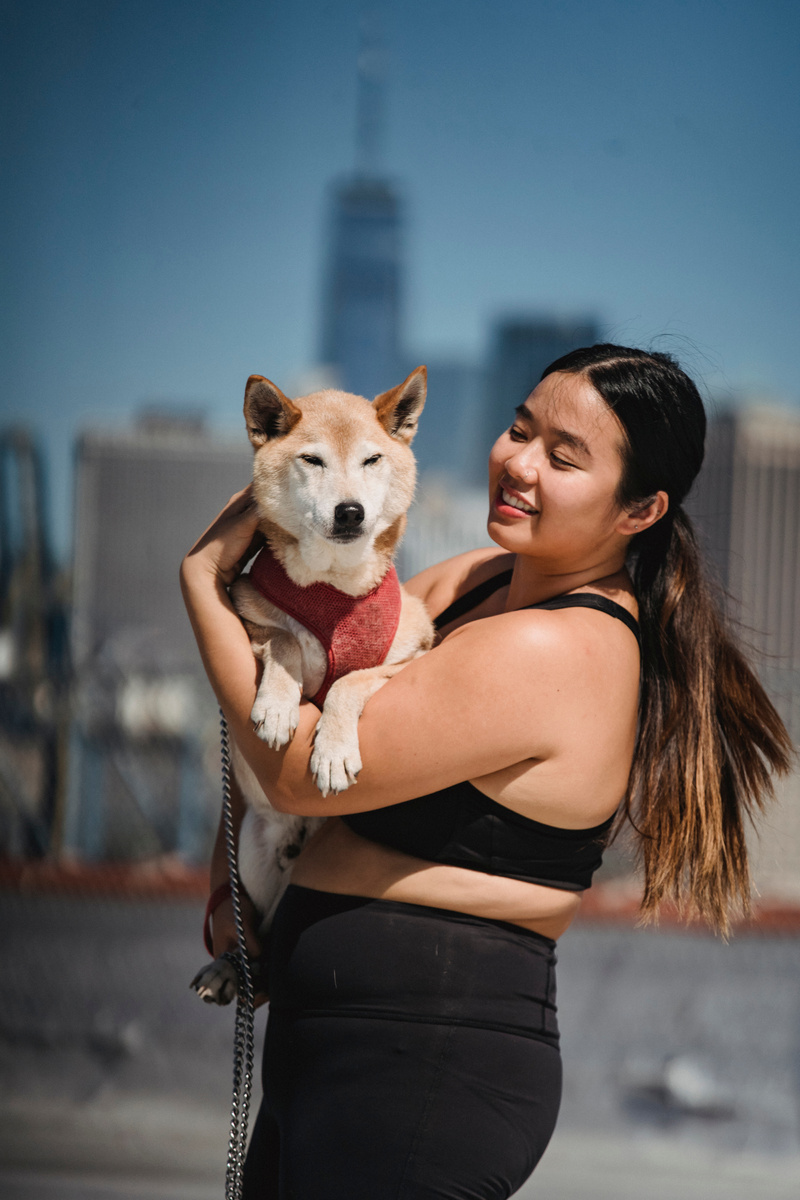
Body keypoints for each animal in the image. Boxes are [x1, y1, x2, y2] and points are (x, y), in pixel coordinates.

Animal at [191, 364, 434, 1003]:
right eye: (312, 460)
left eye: (372, 459)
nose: (350, 511)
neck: (334, 589)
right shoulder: (249, 617)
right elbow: (281, 641)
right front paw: (278, 707)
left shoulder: (414, 654)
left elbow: (350, 683)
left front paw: (331, 750)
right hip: (251, 856)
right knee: (255, 939)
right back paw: (229, 966)